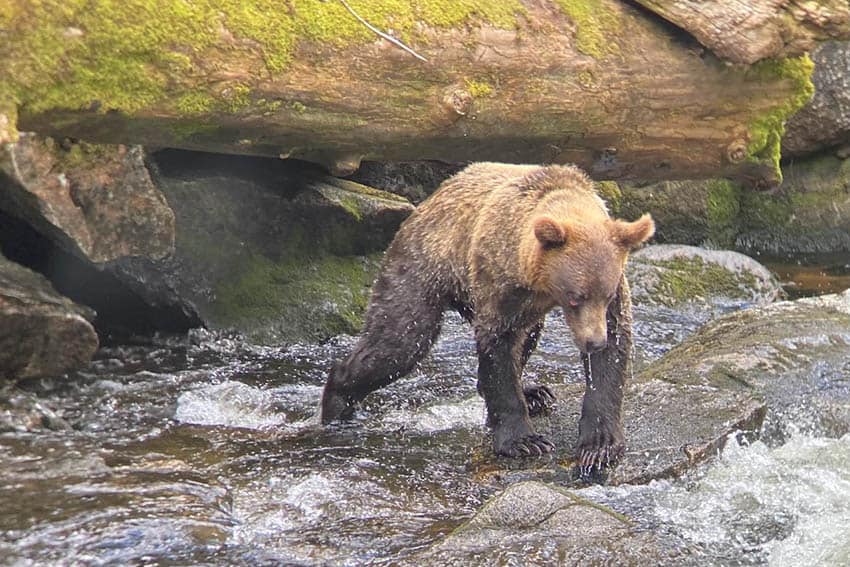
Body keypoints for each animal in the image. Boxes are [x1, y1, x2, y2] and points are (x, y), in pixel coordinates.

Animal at [321, 162, 654, 470]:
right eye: (575, 297)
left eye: (605, 295)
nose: (593, 341)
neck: (540, 284)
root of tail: (428, 200)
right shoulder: (500, 282)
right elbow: (498, 348)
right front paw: (524, 441)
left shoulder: (610, 294)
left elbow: (610, 357)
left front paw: (598, 446)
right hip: (422, 267)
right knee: (399, 341)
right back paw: (336, 402)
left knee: (528, 337)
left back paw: (534, 392)